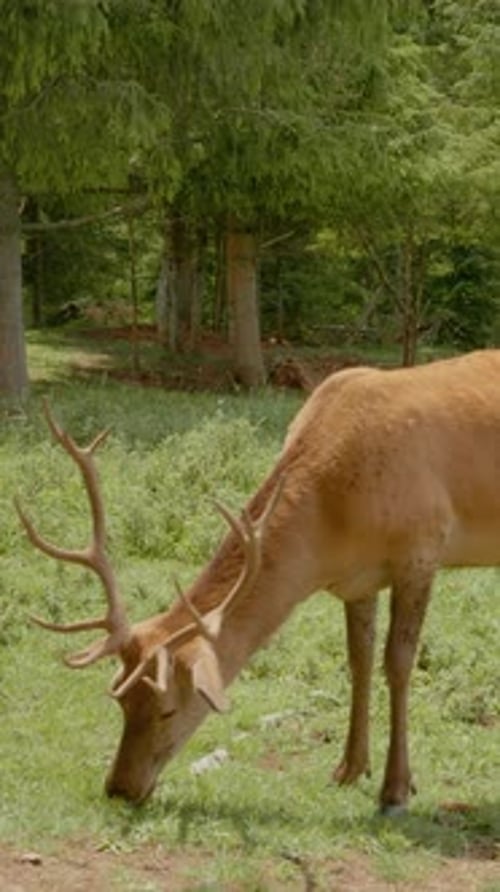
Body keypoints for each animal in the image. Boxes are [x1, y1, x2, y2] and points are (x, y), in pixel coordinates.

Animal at [15, 349, 500, 814]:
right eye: (119, 700)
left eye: (168, 709)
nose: (119, 788)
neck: (333, 526)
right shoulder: (359, 579)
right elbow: (358, 660)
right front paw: (348, 769)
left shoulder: (422, 546)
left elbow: (397, 664)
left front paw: (396, 790)